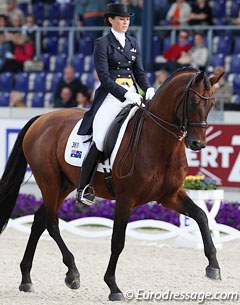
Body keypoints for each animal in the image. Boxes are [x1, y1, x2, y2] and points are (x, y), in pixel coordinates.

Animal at [0, 67, 223, 300]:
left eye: (212, 103)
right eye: (194, 102)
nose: (198, 144)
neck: (158, 141)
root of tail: (42, 118)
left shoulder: (170, 195)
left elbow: (201, 216)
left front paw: (213, 266)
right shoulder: (126, 199)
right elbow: (117, 241)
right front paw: (113, 286)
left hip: (64, 184)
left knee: (39, 220)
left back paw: (26, 278)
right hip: (49, 181)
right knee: (52, 223)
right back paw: (72, 273)